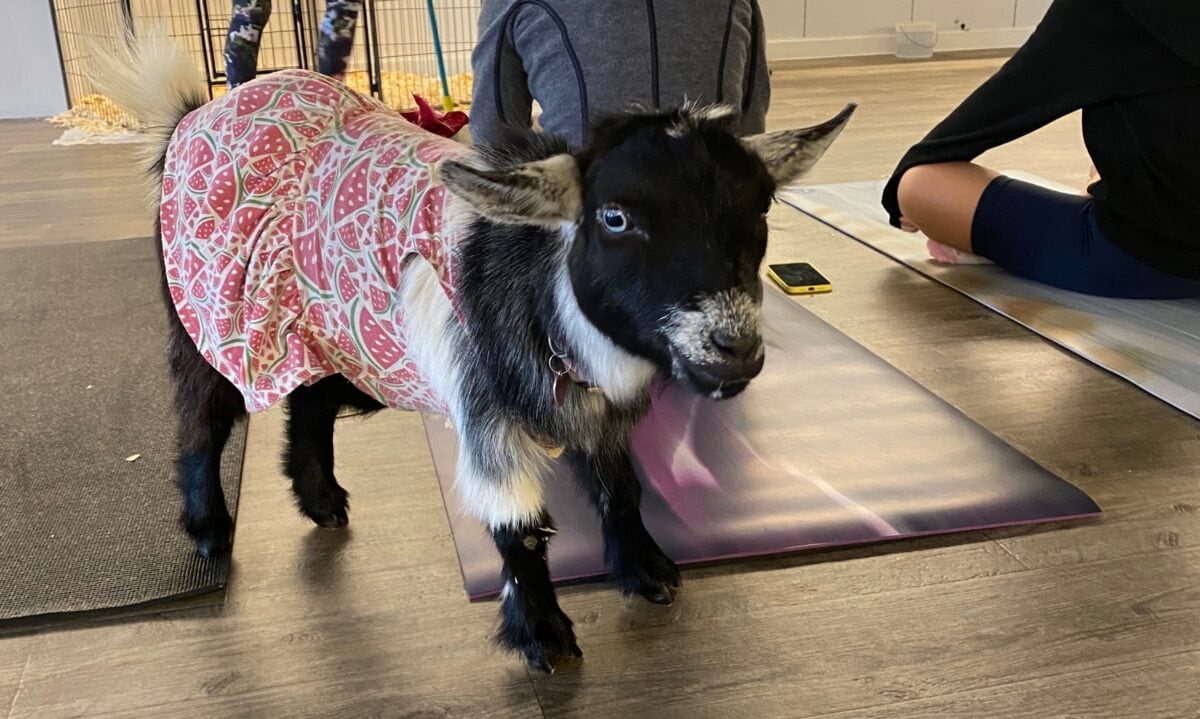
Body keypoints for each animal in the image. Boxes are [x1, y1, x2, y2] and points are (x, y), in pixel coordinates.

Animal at [93, 30, 854, 672]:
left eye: (762, 208)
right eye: (614, 217)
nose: (735, 349)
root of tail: (189, 118)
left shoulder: (593, 411)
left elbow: (620, 487)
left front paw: (647, 571)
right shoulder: (485, 411)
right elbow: (518, 524)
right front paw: (544, 637)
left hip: (342, 342)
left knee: (309, 403)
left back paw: (321, 500)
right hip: (211, 317)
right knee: (203, 418)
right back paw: (208, 530)